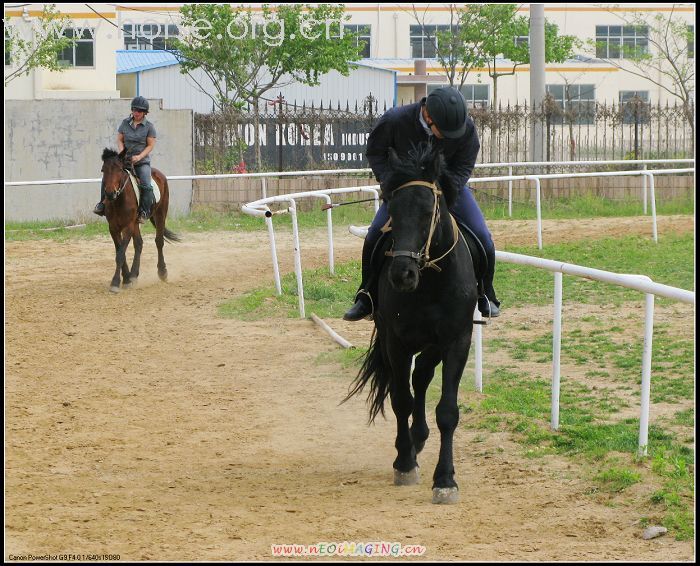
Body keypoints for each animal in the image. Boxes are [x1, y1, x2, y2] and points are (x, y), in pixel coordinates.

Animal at [100, 149, 180, 296]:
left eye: (119, 169)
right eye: (103, 170)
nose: (109, 194)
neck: (119, 200)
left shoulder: (128, 226)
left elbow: (120, 254)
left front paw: (115, 283)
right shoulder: (113, 227)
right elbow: (120, 251)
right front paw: (126, 279)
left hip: (160, 214)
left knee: (159, 241)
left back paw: (162, 272)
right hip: (136, 223)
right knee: (139, 244)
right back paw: (133, 275)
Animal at [348, 143, 478, 506]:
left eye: (429, 210)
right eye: (392, 207)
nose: (401, 274)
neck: (429, 282)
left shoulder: (456, 341)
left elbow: (446, 410)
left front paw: (445, 480)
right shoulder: (397, 342)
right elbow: (400, 400)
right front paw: (404, 463)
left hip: (433, 345)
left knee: (421, 378)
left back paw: (419, 438)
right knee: (409, 385)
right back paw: (408, 446)